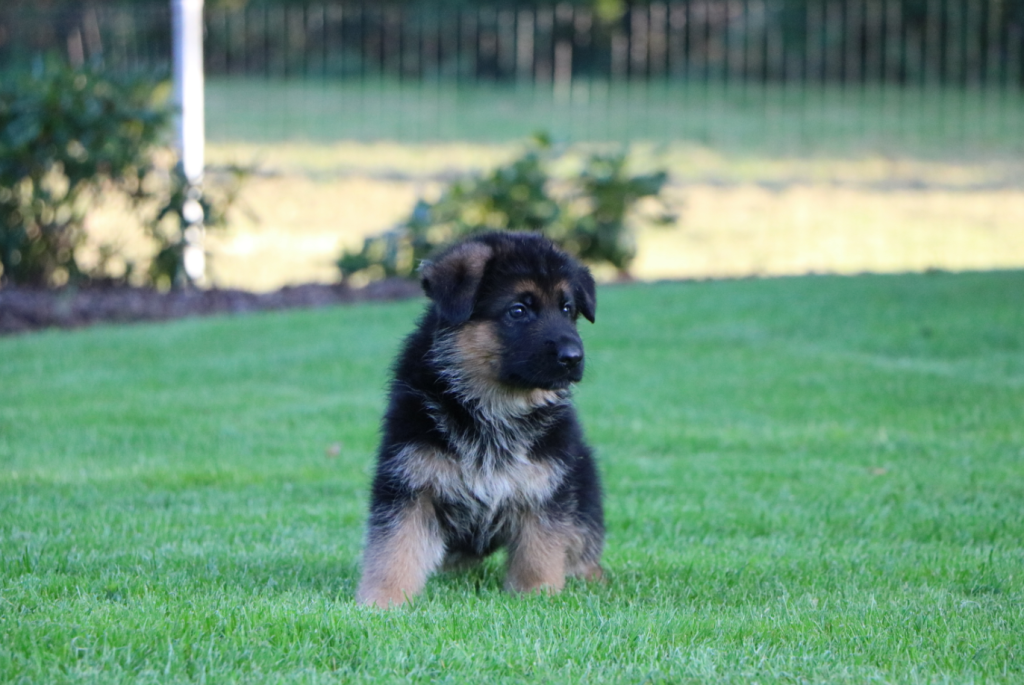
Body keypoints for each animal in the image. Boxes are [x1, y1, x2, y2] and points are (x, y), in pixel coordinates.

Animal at [356, 231, 604, 608]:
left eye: (567, 309)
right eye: (518, 310)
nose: (573, 357)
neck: (493, 406)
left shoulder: (545, 486)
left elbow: (541, 551)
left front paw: (537, 596)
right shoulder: (409, 482)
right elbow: (394, 548)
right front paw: (381, 601)